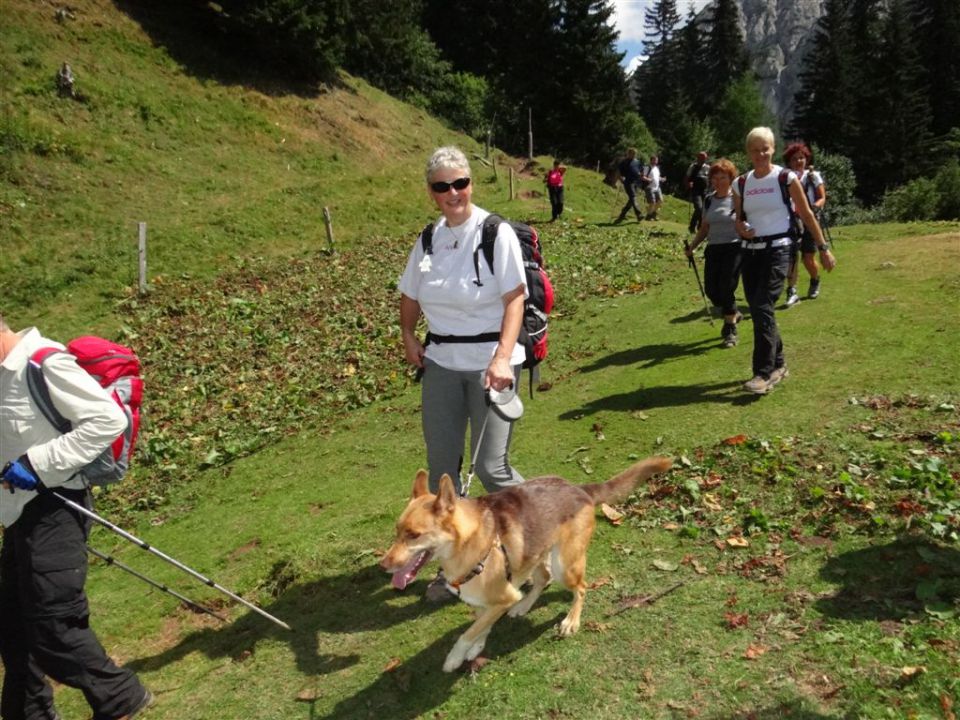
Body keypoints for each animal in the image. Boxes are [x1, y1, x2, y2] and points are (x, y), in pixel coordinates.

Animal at [378, 458, 672, 672]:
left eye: (414, 535)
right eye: (397, 531)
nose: (383, 566)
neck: (468, 544)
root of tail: (579, 488)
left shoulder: (501, 596)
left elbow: (468, 632)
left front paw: (455, 657)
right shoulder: (485, 600)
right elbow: (480, 624)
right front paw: (477, 646)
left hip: (566, 564)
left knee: (580, 587)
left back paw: (571, 621)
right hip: (536, 555)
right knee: (543, 578)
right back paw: (524, 605)